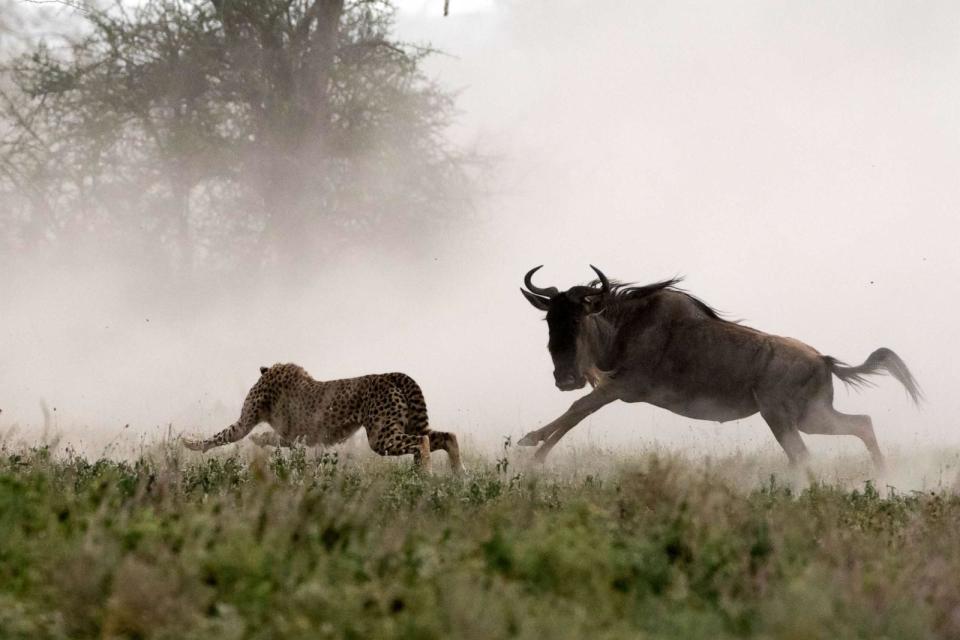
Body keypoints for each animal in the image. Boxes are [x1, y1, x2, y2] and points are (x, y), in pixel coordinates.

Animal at [183, 362, 464, 472]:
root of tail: (389, 374)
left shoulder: (256, 424)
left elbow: (224, 434)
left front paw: (190, 443)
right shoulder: (298, 437)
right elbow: (271, 438)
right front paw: (260, 439)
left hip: (381, 437)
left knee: (421, 442)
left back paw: (425, 474)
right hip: (405, 426)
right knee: (447, 436)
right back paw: (458, 475)